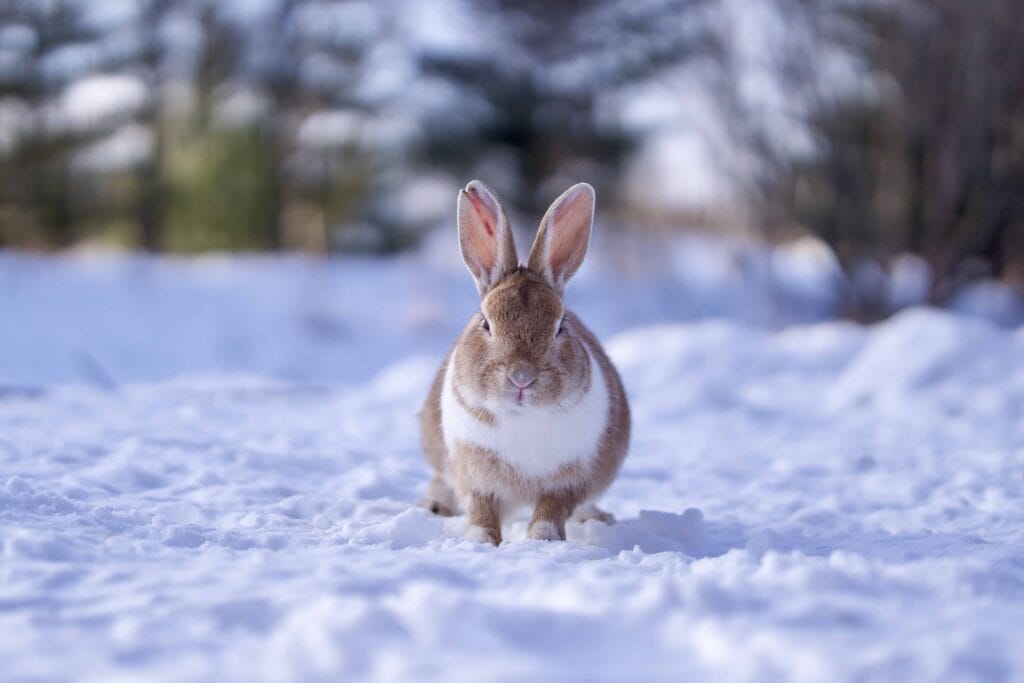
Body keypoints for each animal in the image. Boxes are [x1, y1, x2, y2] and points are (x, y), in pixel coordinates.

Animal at [417, 180, 626, 544]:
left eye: (561, 325)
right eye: (486, 323)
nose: (522, 378)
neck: (521, 416)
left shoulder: (568, 480)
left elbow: (551, 511)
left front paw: (543, 540)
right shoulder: (474, 476)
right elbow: (481, 511)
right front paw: (480, 541)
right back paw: (432, 507)